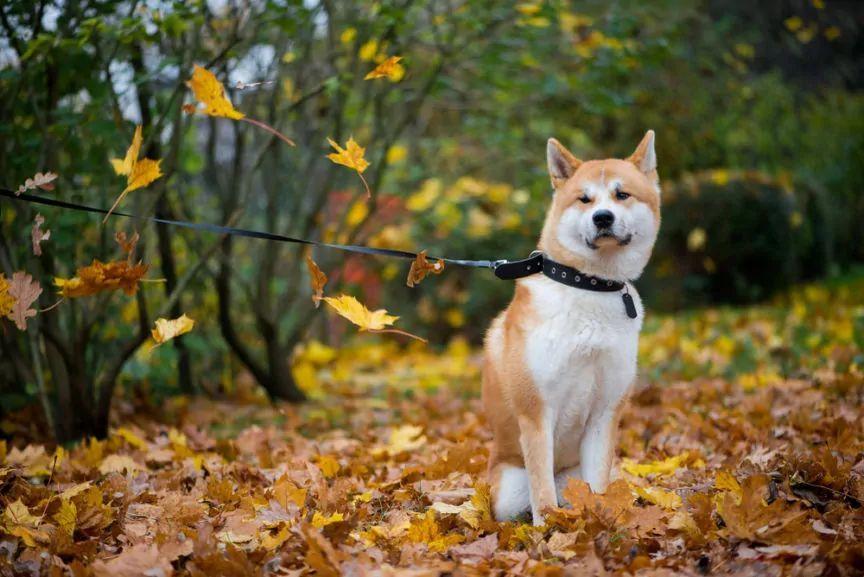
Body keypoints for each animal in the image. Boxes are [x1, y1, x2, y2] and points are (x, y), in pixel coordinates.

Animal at [480, 129, 660, 520]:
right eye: (584, 199)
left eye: (622, 194)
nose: (602, 217)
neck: (587, 285)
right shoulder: (536, 412)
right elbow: (542, 492)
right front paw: (549, 527)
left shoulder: (605, 411)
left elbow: (597, 487)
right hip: (507, 492)